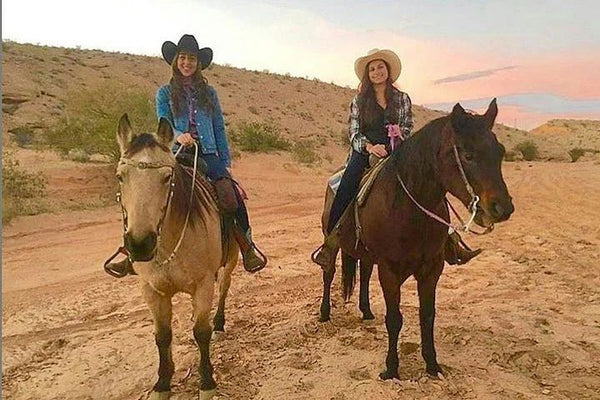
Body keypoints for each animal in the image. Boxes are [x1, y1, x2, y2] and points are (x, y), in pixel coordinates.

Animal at [115, 114, 239, 398]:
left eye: (166, 176)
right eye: (120, 177)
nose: (140, 244)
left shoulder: (203, 285)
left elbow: (202, 333)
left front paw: (206, 382)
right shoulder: (152, 290)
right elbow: (162, 335)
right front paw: (163, 382)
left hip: (231, 260)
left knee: (224, 288)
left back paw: (219, 323)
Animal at [328, 99, 510, 378]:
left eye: (500, 153)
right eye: (468, 155)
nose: (502, 208)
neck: (409, 207)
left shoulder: (432, 268)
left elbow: (428, 316)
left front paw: (432, 365)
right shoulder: (389, 271)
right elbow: (394, 319)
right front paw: (391, 369)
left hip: (368, 255)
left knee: (365, 273)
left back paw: (366, 311)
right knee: (327, 273)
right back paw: (323, 313)